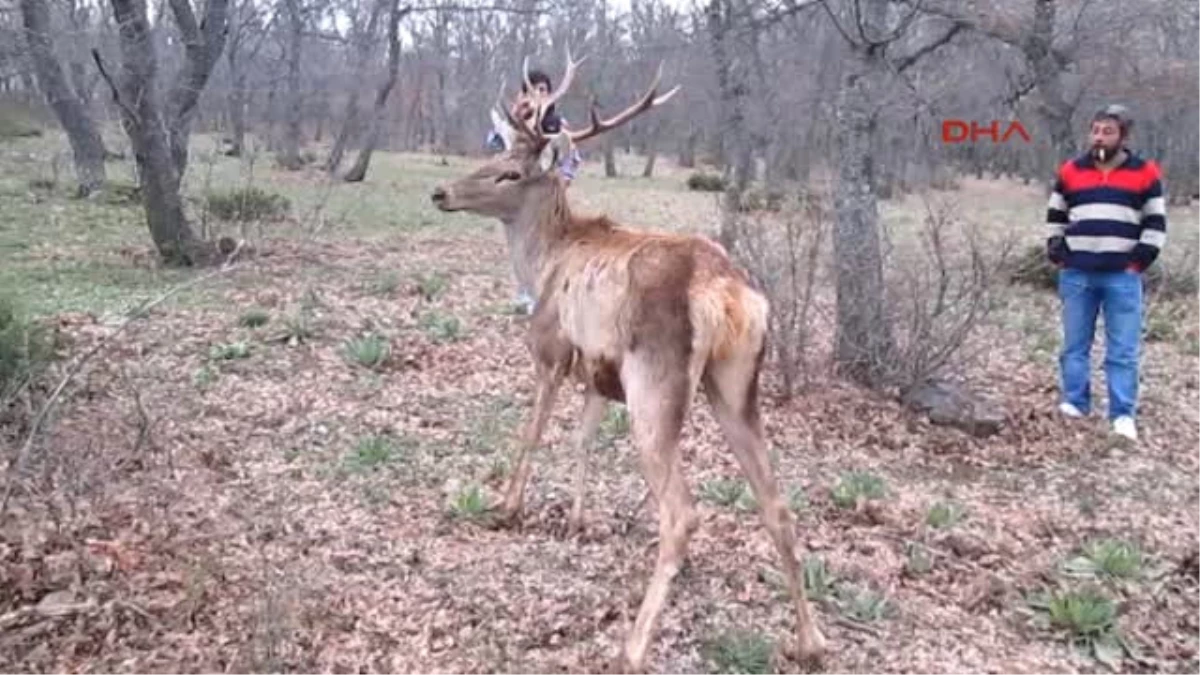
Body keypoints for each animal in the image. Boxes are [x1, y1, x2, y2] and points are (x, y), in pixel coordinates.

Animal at [429, 53, 825, 672]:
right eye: (490, 156)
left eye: (510, 174)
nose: (440, 192)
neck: (543, 260)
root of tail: (730, 295)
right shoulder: (598, 375)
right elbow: (582, 440)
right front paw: (575, 520)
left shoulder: (552, 350)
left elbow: (533, 432)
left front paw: (508, 506)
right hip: (736, 385)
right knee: (777, 504)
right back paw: (811, 641)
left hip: (656, 384)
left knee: (681, 513)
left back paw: (633, 648)